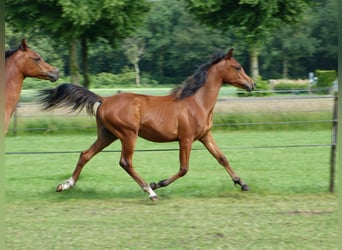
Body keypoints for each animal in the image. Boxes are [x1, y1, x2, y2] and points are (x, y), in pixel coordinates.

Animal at [38, 48, 255, 200]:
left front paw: (242, 183)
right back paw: (150, 192)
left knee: (85, 154)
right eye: (237, 67)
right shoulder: (186, 139)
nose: (252, 84)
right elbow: (184, 168)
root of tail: (104, 99)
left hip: (108, 135)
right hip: (128, 134)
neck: (196, 102)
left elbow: (222, 158)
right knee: (125, 162)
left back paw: (65, 185)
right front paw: (158, 183)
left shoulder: (204, 136)